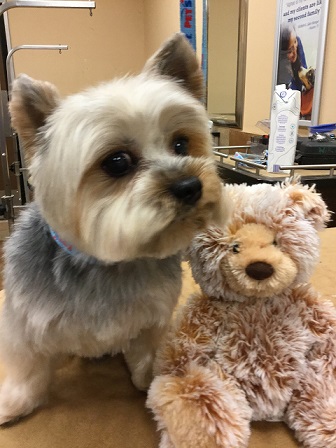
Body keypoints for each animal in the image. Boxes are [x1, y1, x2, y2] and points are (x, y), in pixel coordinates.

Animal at [0, 32, 226, 424]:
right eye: (118, 162)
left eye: (181, 143)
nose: (189, 186)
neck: (105, 263)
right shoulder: (24, 322)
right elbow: (27, 368)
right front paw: (14, 402)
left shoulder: (153, 318)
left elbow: (147, 355)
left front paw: (154, 380)